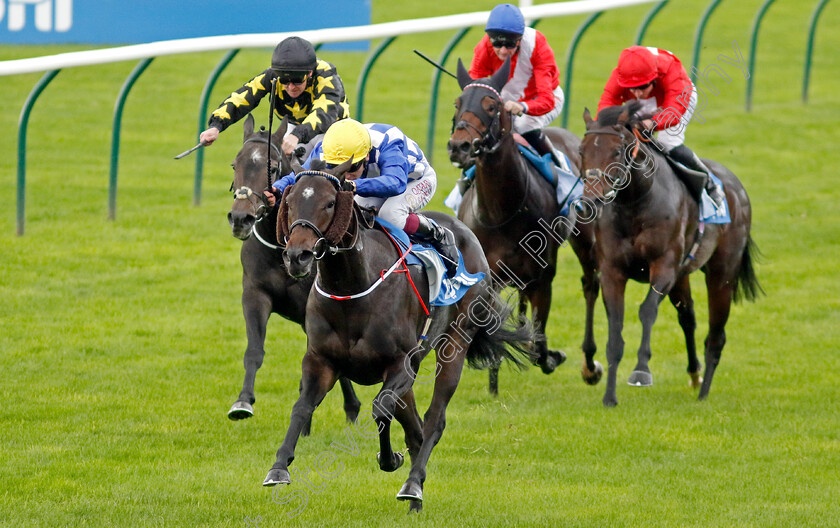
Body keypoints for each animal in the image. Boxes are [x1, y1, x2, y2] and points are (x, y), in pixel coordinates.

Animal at [226, 112, 358, 428]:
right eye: (235, 164)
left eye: (272, 167)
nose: (240, 218)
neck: (279, 248)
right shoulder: (255, 294)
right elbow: (254, 350)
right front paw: (242, 402)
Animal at [264, 164, 540, 512]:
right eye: (289, 204)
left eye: (329, 203)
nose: (297, 256)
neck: (352, 288)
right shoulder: (320, 360)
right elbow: (302, 406)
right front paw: (278, 468)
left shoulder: (400, 364)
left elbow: (381, 409)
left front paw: (390, 459)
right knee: (415, 429)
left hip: (455, 342)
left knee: (434, 419)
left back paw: (413, 485)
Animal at [446, 59, 604, 394]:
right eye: (457, 103)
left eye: (492, 106)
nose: (459, 146)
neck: (501, 211)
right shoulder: (489, 276)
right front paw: (493, 381)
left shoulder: (544, 275)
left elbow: (540, 345)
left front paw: (549, 354)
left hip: (585, 237)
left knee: (590, 284)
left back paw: (590, 364)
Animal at [576, 104, 760, 408]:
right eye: (581, 150)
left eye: (617, 151)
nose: (589, 202)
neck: (635, 203)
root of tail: (737, 187)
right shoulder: (613, 271)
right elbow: (615, 330)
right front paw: (609, 396)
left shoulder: (663, 266)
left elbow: (647, 310)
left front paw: (641, 371)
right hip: (683, 276)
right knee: (688, 317)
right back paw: (695, 375)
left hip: (722, 273)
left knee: (716, 336)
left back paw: (703, 393)